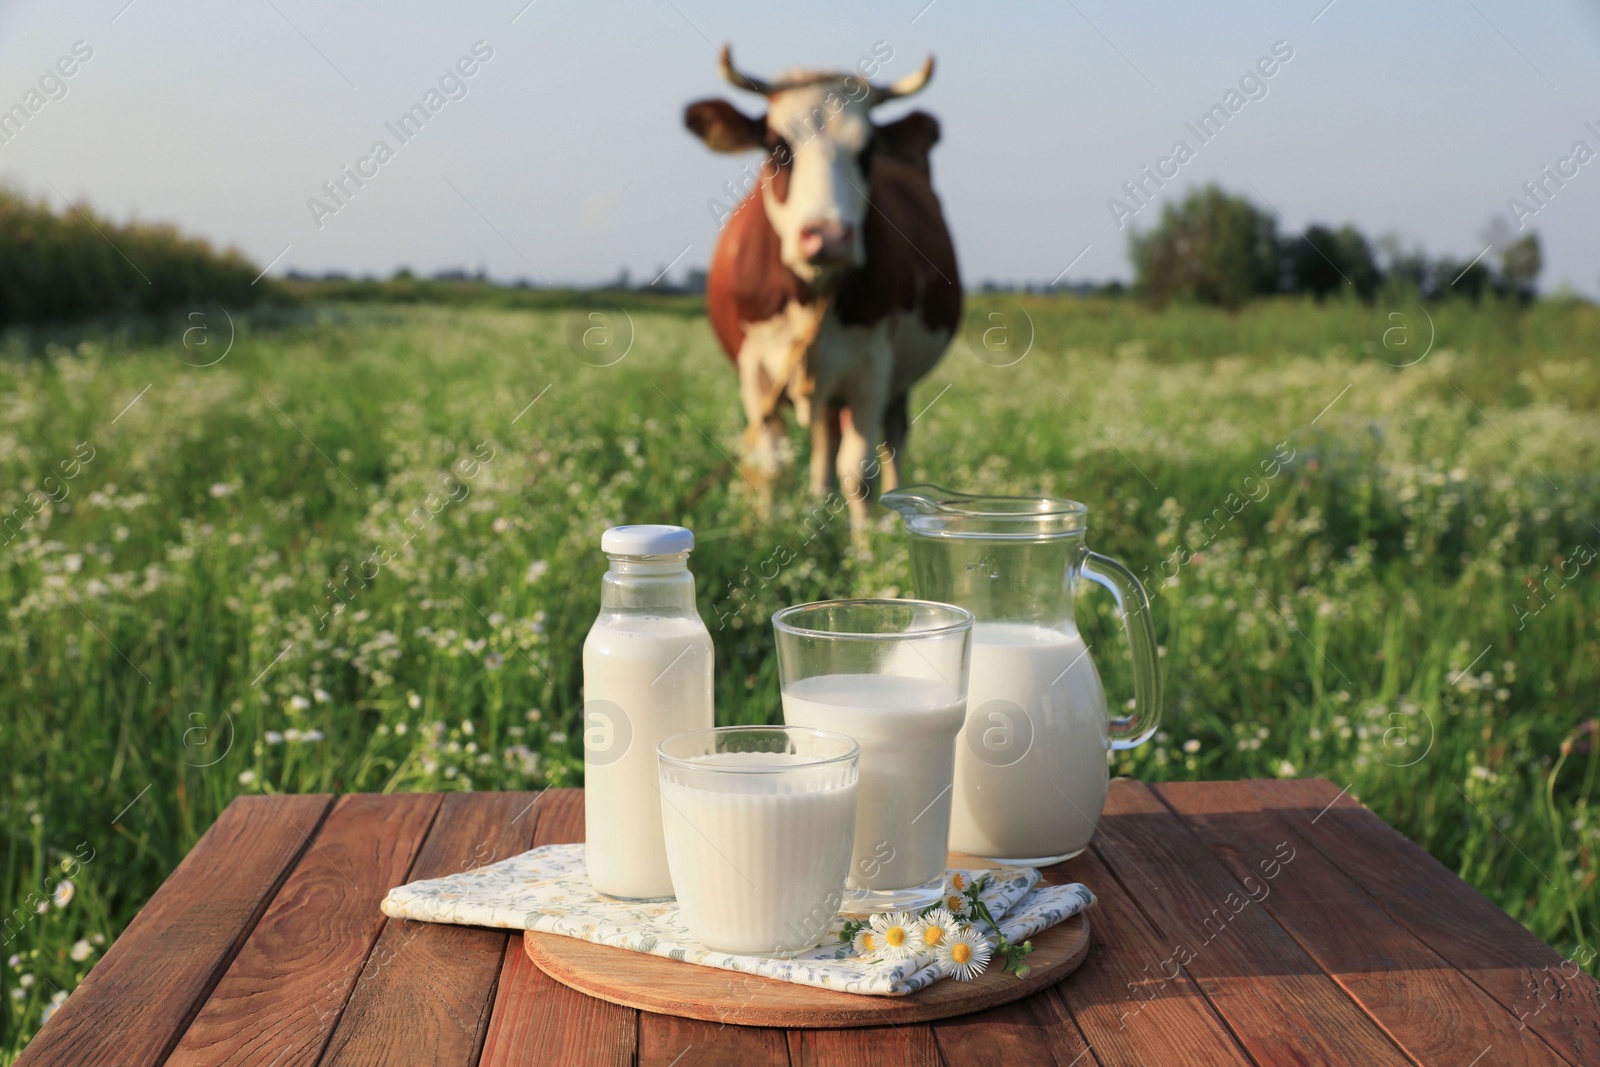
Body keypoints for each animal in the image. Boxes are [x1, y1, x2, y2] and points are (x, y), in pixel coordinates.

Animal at [678, 46, 953, 531]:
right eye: (777, 146)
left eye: (867, 151)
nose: (828, 236)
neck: (811, 289)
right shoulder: (756, 369)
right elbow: (772, 465)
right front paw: (766, 532)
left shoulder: (872, 366)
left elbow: (860, 473)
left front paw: (866, 548)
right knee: (824, 441)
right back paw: (815, 505)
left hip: (894, 381)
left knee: (892, 440)